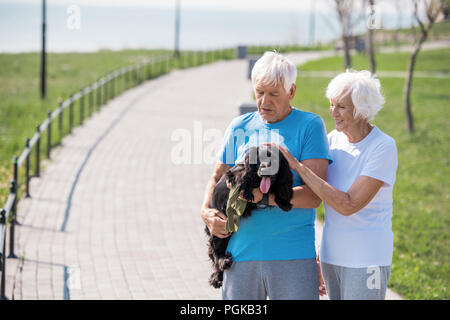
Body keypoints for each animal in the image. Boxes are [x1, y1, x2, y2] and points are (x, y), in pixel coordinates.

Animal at [206, 144, 294, 288]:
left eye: (274, 159)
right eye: (259, 159)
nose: (264, 168)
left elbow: (281, 185)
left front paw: (284, 201)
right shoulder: (235, 173)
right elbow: (241, 177)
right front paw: (246, 191)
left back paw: (218, 277)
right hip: (221, 228)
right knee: (214, 248)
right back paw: (222, 263)